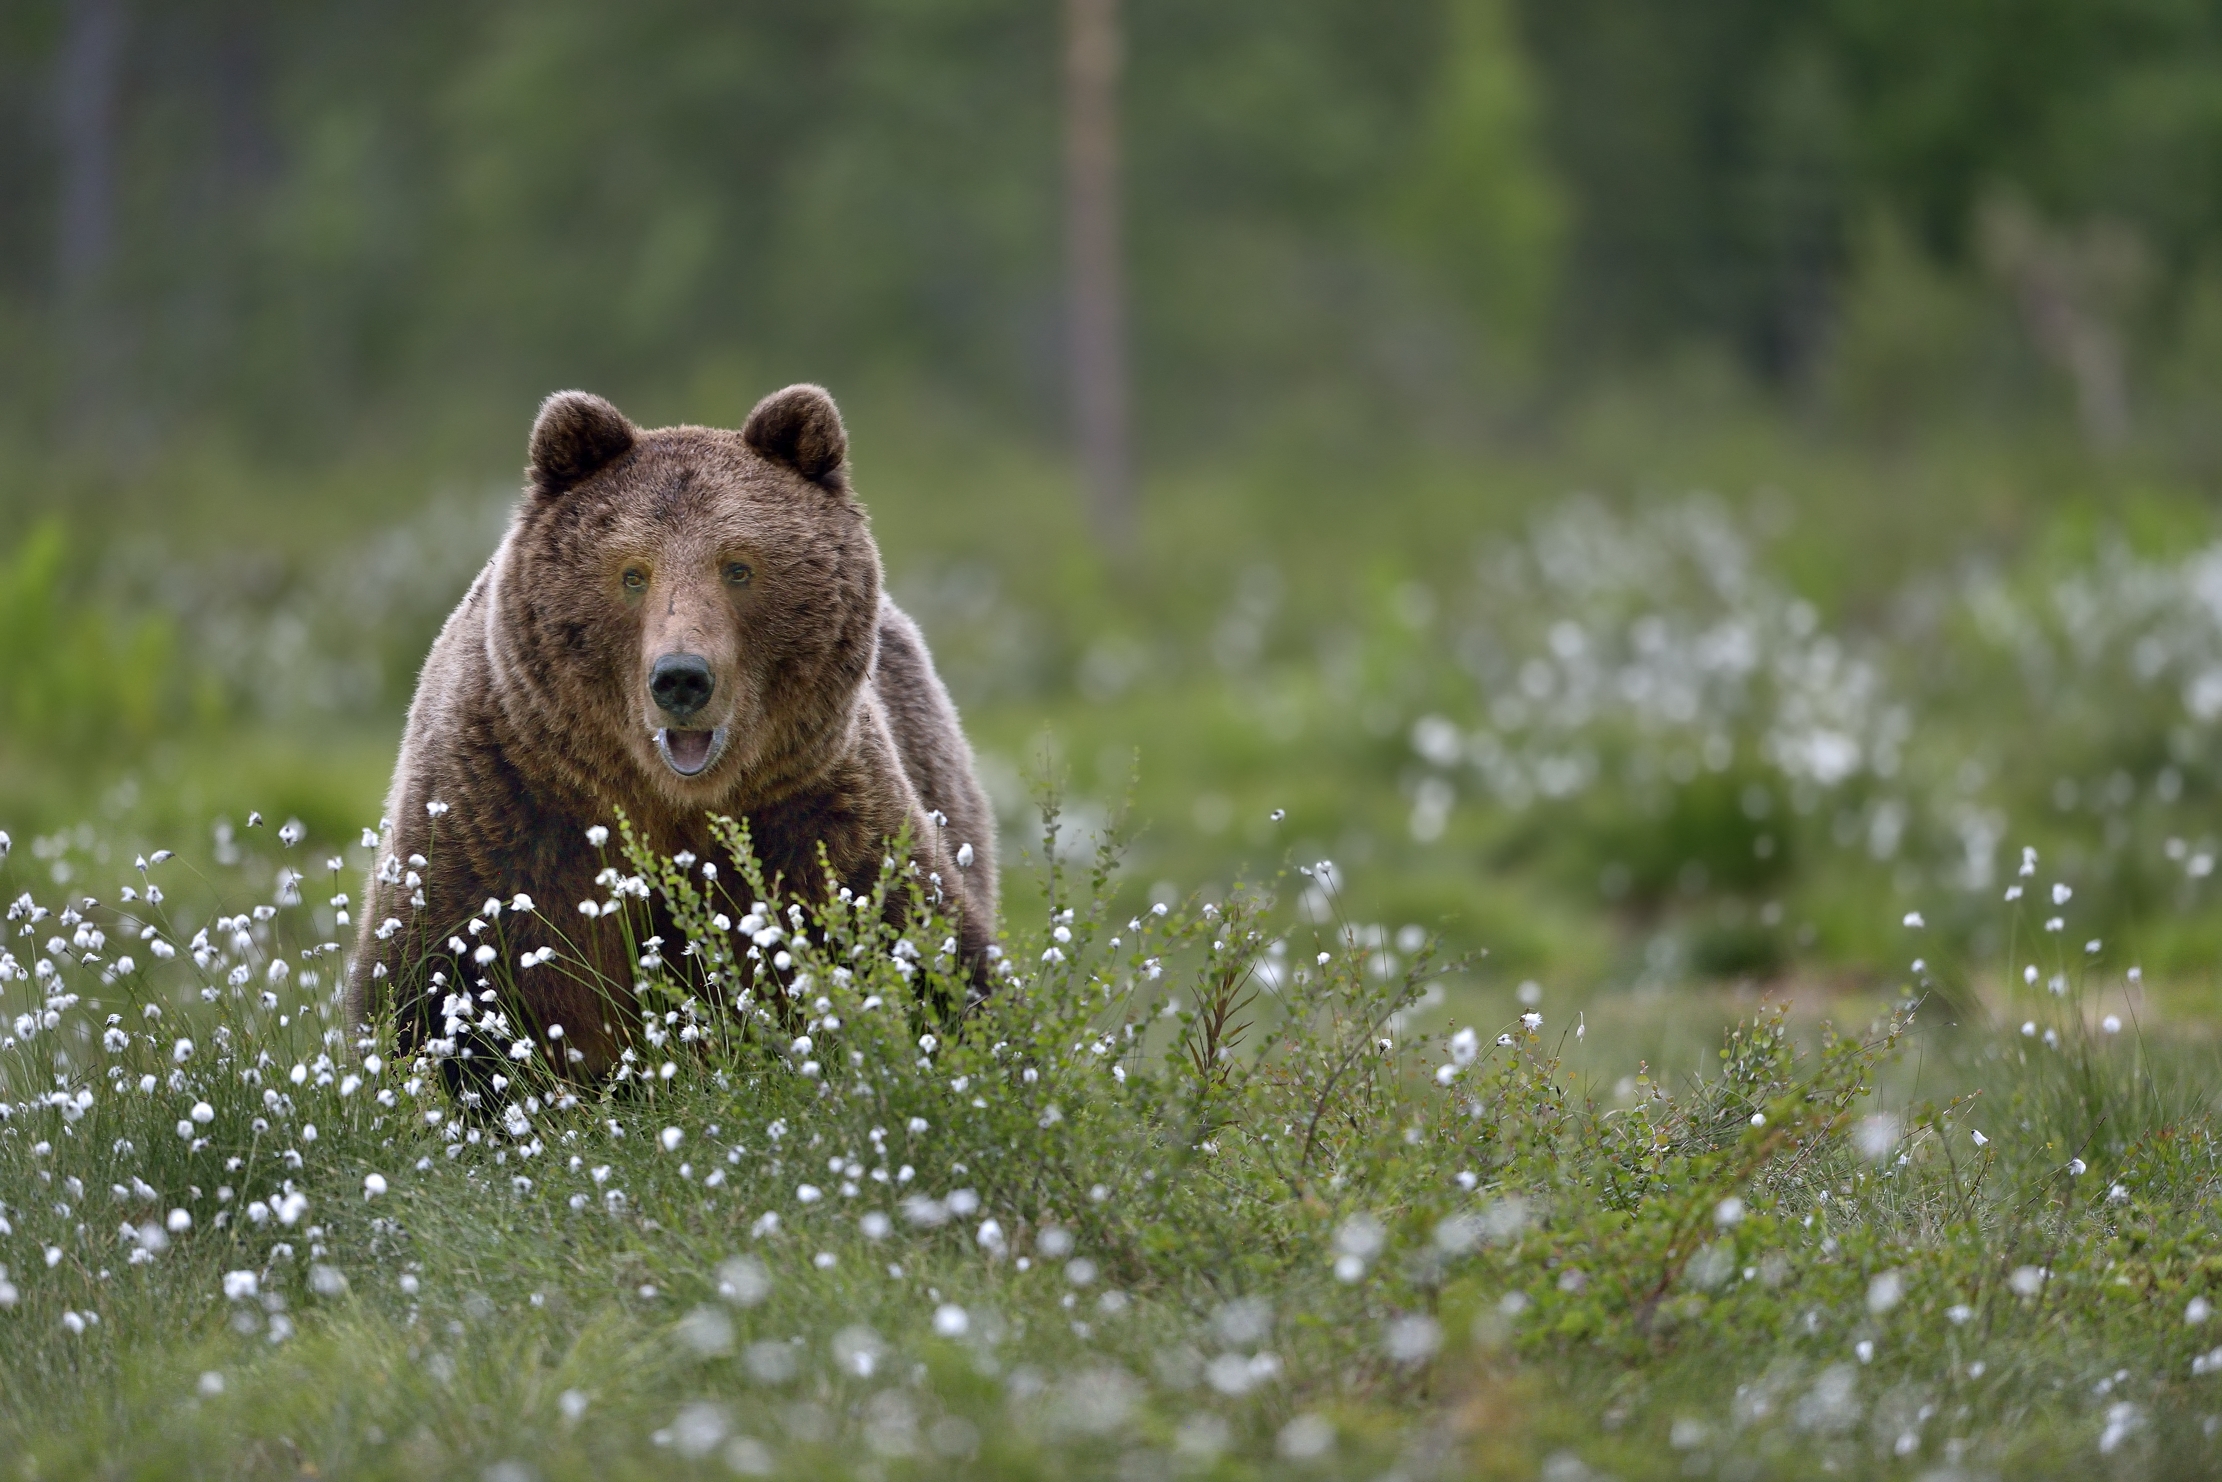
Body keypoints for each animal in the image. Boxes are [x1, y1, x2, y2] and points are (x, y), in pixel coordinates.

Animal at [346, 384, 999, 1083]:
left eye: (738, 567)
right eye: (633, 573)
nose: (682, 677)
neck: (667, 800)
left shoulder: (819, 815)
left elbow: (927, 950)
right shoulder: (504, 814)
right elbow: (429, 979)